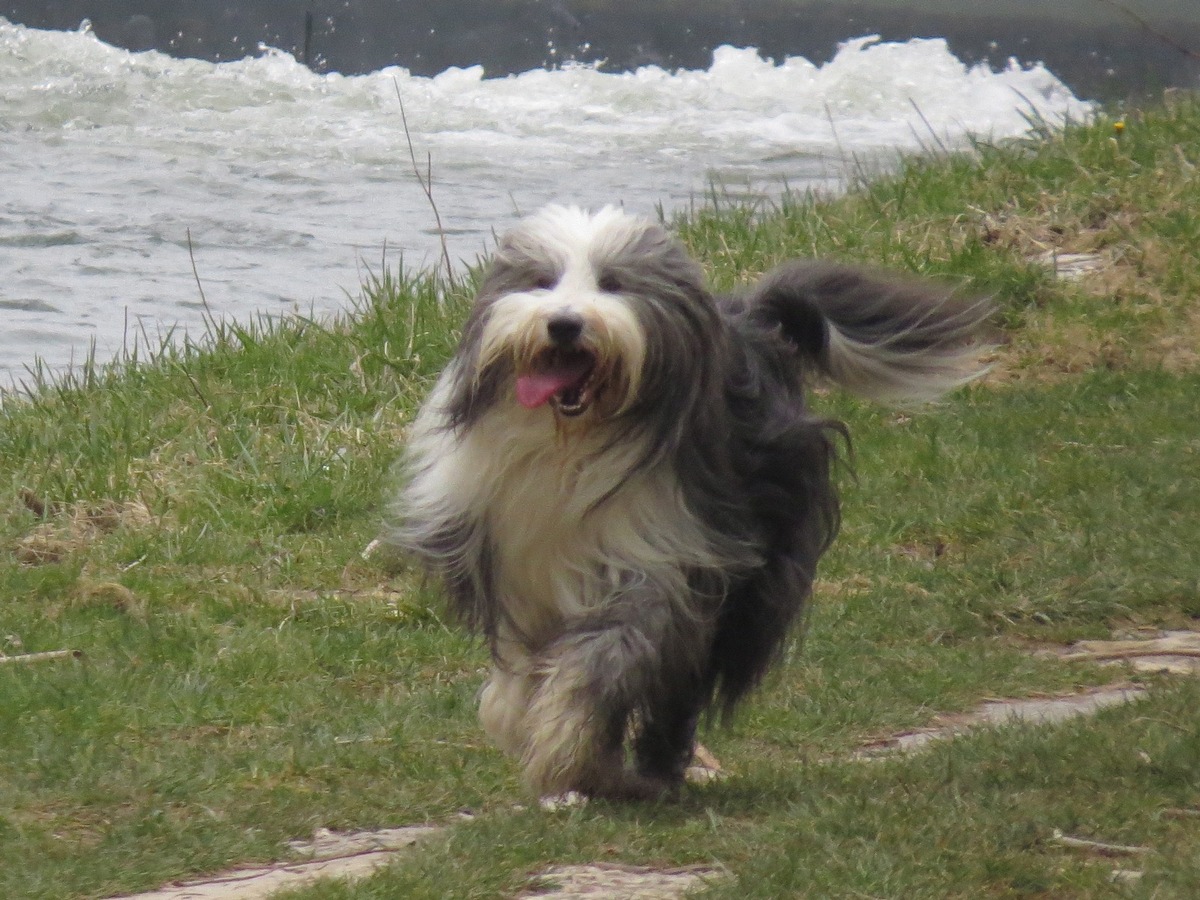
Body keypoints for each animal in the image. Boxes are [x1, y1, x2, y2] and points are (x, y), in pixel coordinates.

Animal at [386, 206, 993, 801]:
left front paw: (567, 749)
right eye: (542, 281)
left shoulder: (661, 561)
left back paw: (653, 767)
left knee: (684, 683)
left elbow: (603, 661)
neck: (572, 446)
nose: (563, 323)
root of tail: (751, 316)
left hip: (752, 570)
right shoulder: (512, 564)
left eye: (613, 284)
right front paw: (521, 721)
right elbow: (520, 663)